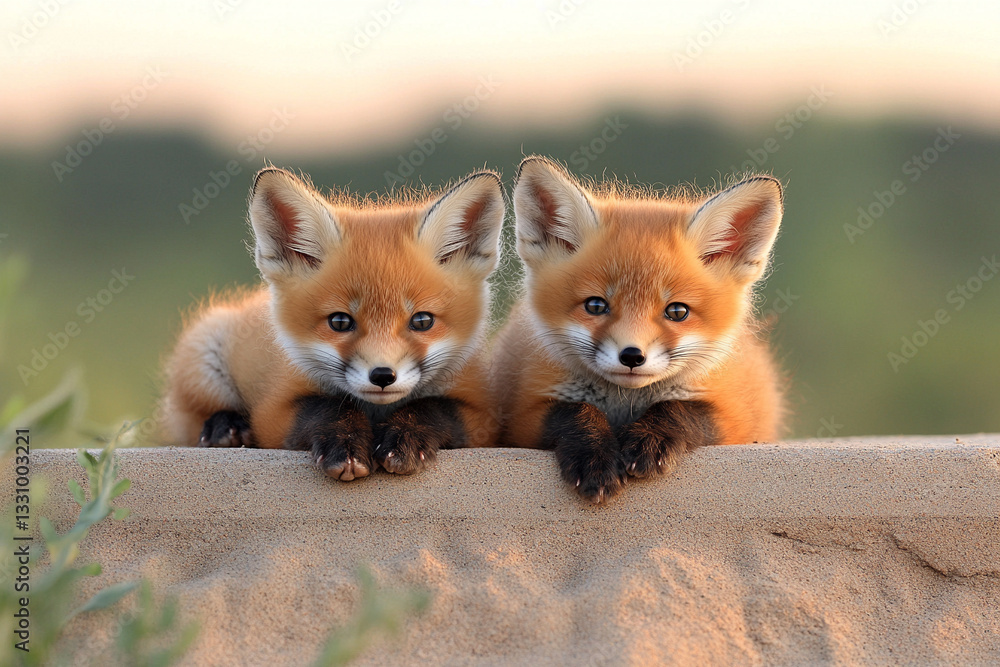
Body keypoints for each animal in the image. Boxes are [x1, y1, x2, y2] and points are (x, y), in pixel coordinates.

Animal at [160, 167, 506, 480]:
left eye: (422, 321)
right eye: (340, 322)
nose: (383, 376)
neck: (376, 412)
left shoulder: (482, 414)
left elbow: (433, 408)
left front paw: (404, 440)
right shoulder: (274, 412)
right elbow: (326, 407)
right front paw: (345, 445)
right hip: (204, 360)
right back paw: (225, 426)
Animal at [492, 157, 785, 503]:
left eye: (677, 312)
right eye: (595, 306)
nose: (632, 356)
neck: (624, 405)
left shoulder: (735, 420)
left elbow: (677, 407)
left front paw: (650, 440)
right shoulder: (521, 415)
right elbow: (575, 411)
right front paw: (594, 458)